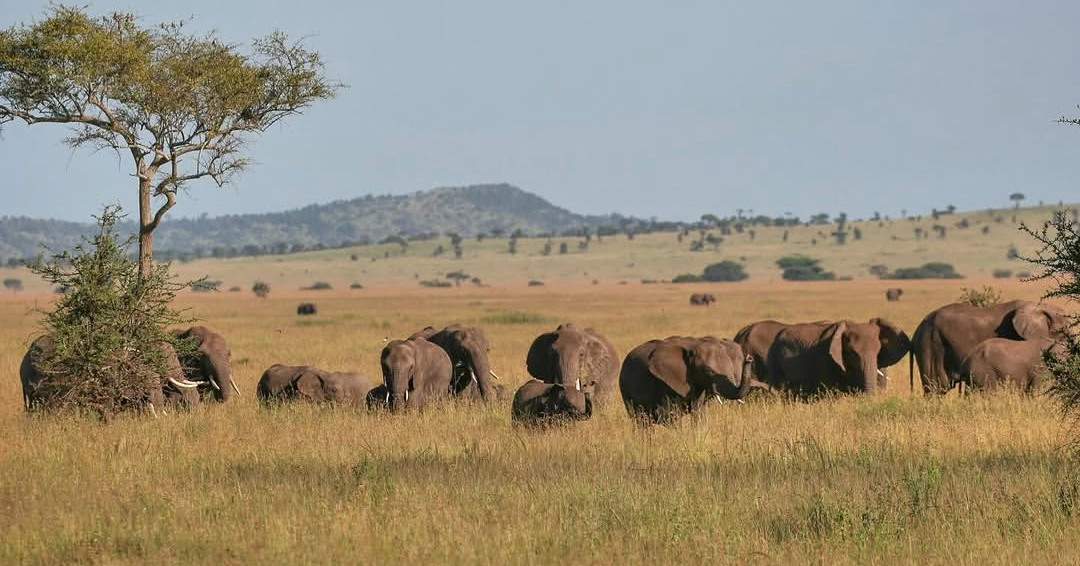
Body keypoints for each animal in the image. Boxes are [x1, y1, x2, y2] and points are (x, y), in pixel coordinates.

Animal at [619, 335, 753, 424]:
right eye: (707, 371)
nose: (749, 358)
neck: (694, 346)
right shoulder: (664, 382)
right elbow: (670, 415)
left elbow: (699, 412)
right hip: (625, 388)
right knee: (641, 420)